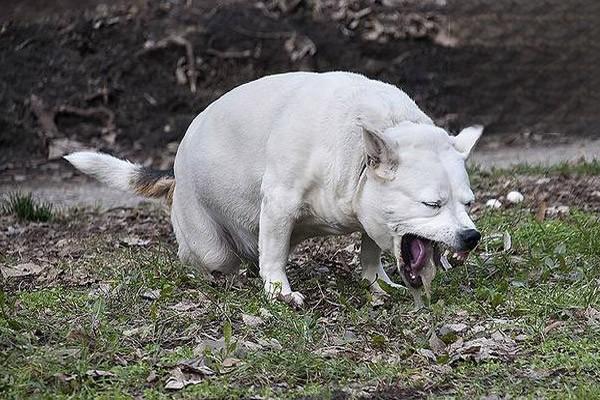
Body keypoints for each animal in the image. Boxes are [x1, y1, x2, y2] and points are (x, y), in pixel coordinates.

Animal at [64, 72, 482, 308]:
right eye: (431, 204)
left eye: (469, 204)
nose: (471, 236)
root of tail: (176, 175)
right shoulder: (280, 204)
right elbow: (276, 255)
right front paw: (279, 291)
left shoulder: (370, 213)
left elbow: (369, 249)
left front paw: (376, 280)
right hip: (210, 245)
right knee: (209, 258)